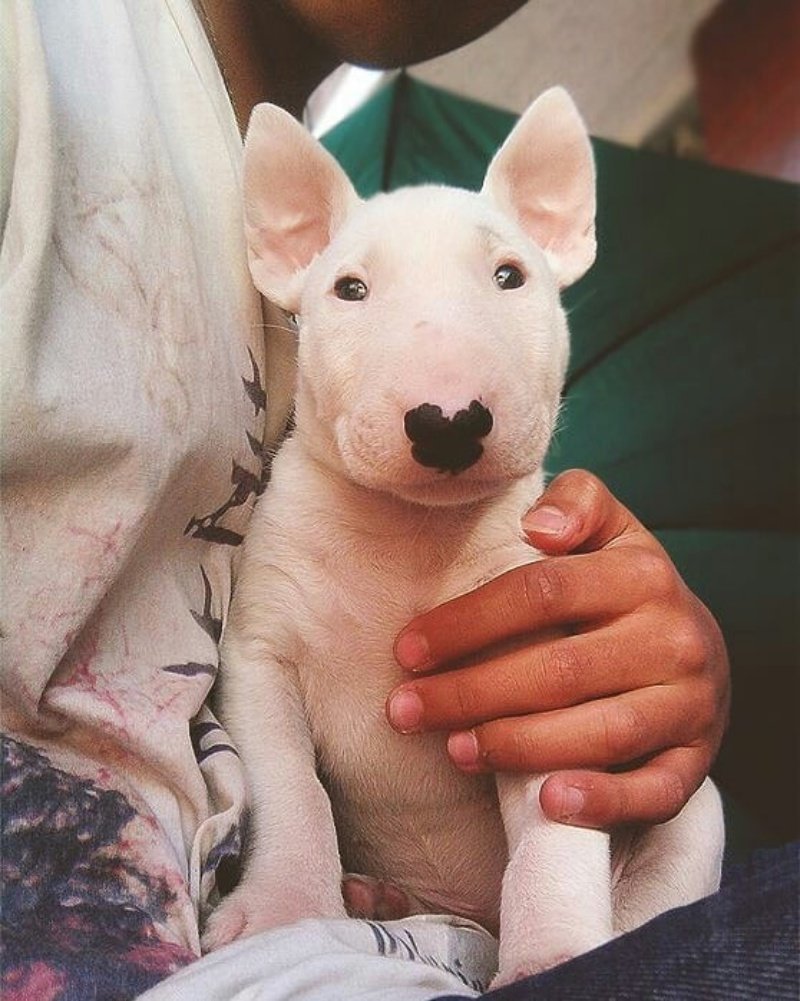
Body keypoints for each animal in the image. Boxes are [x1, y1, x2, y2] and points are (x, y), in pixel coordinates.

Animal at [202, 88, 724, 984]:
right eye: (349, 288)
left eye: (509, 274)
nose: (447, 421)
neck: (410, 540)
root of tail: (467, 913)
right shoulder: (260, 653)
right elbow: (291, 787)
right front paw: (282, 908)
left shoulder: (543, 686)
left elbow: (553, 827)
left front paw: (553, 955)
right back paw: (373, 895)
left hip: (695, 814)